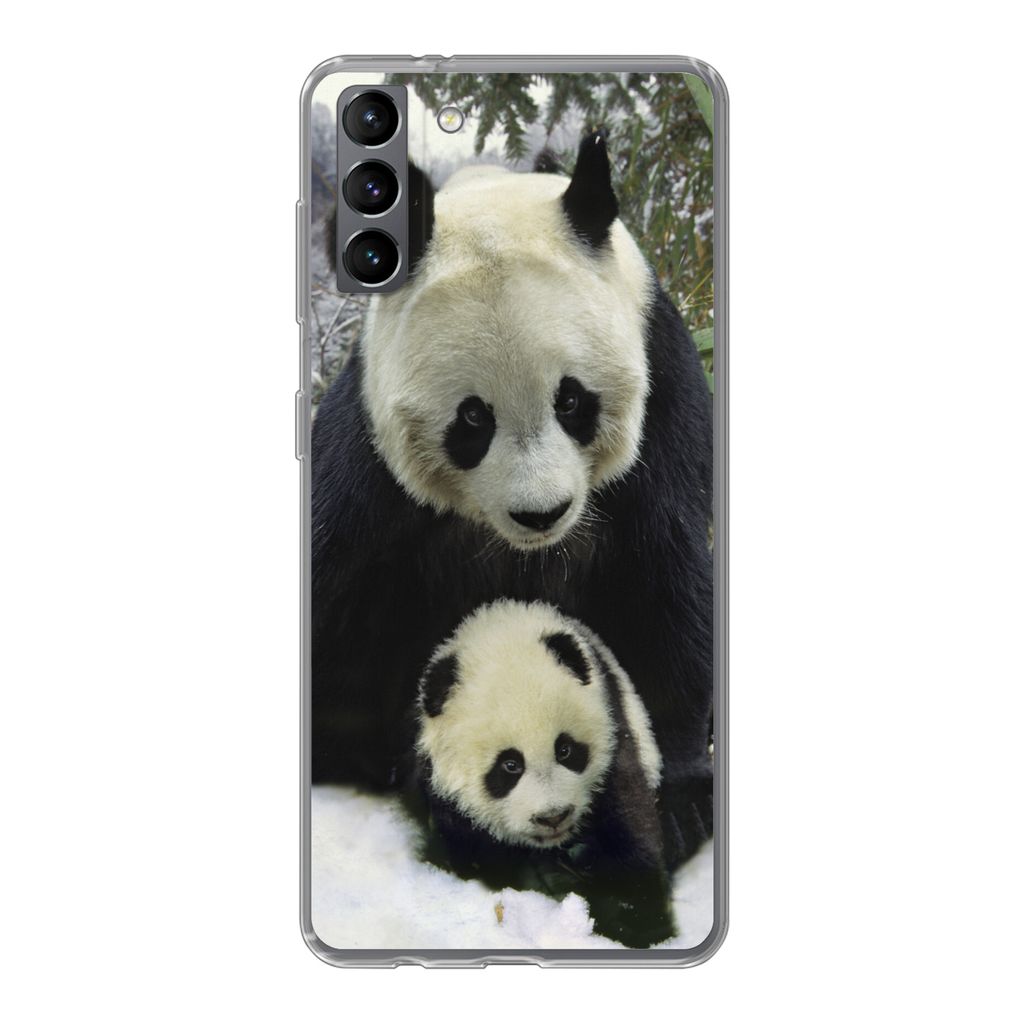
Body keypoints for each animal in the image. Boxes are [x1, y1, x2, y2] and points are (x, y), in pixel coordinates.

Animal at [312, 131, 714, 863]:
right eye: (473, 418)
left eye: (572, 400)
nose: (541, 513)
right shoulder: (368, 459)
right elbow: (335, 590)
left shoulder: (664, 401)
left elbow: (662, 581)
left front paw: (681, 800)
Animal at [413, 599, 675, 948]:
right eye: (510, 765)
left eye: (565, 750)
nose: (553, 817)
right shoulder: (446, 797)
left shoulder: (615, 738)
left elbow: (629, 825)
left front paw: (636, 921)